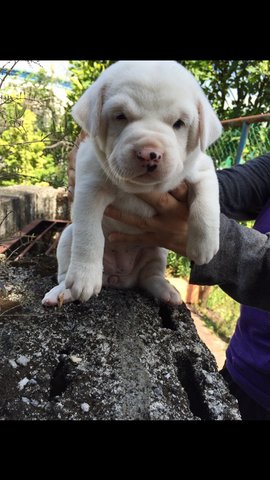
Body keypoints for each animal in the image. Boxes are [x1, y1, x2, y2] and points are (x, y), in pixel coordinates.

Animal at [42, 61, 221, 308]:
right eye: (120, 116)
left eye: (179, 124)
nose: (149, 154)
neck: (137, 187)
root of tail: (119, 278)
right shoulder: (89, 187)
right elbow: (89, 234)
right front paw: (84, 278)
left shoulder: (201, 168)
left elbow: (207, 203)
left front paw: (204, 246)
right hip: (67, 237)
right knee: (66, 269)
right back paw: (63, 292)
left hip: (157, 251)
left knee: (150, 276)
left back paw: (167, 291)